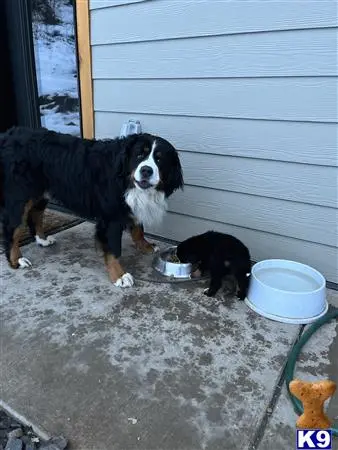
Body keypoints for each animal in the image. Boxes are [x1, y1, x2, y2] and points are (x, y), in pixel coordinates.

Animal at [0, 126, 184, 288]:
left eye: (159, 159)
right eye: (139, 155)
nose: (146, 170)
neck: (124, 178)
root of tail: (8, 135)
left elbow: (138, 228)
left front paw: (145, 246)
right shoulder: (111, 217)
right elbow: (113, 248)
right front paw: (119, 275)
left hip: (40, 192)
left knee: (36, 215)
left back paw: (42, 239)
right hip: (20, 196)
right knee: (13, 227)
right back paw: (16, 259)